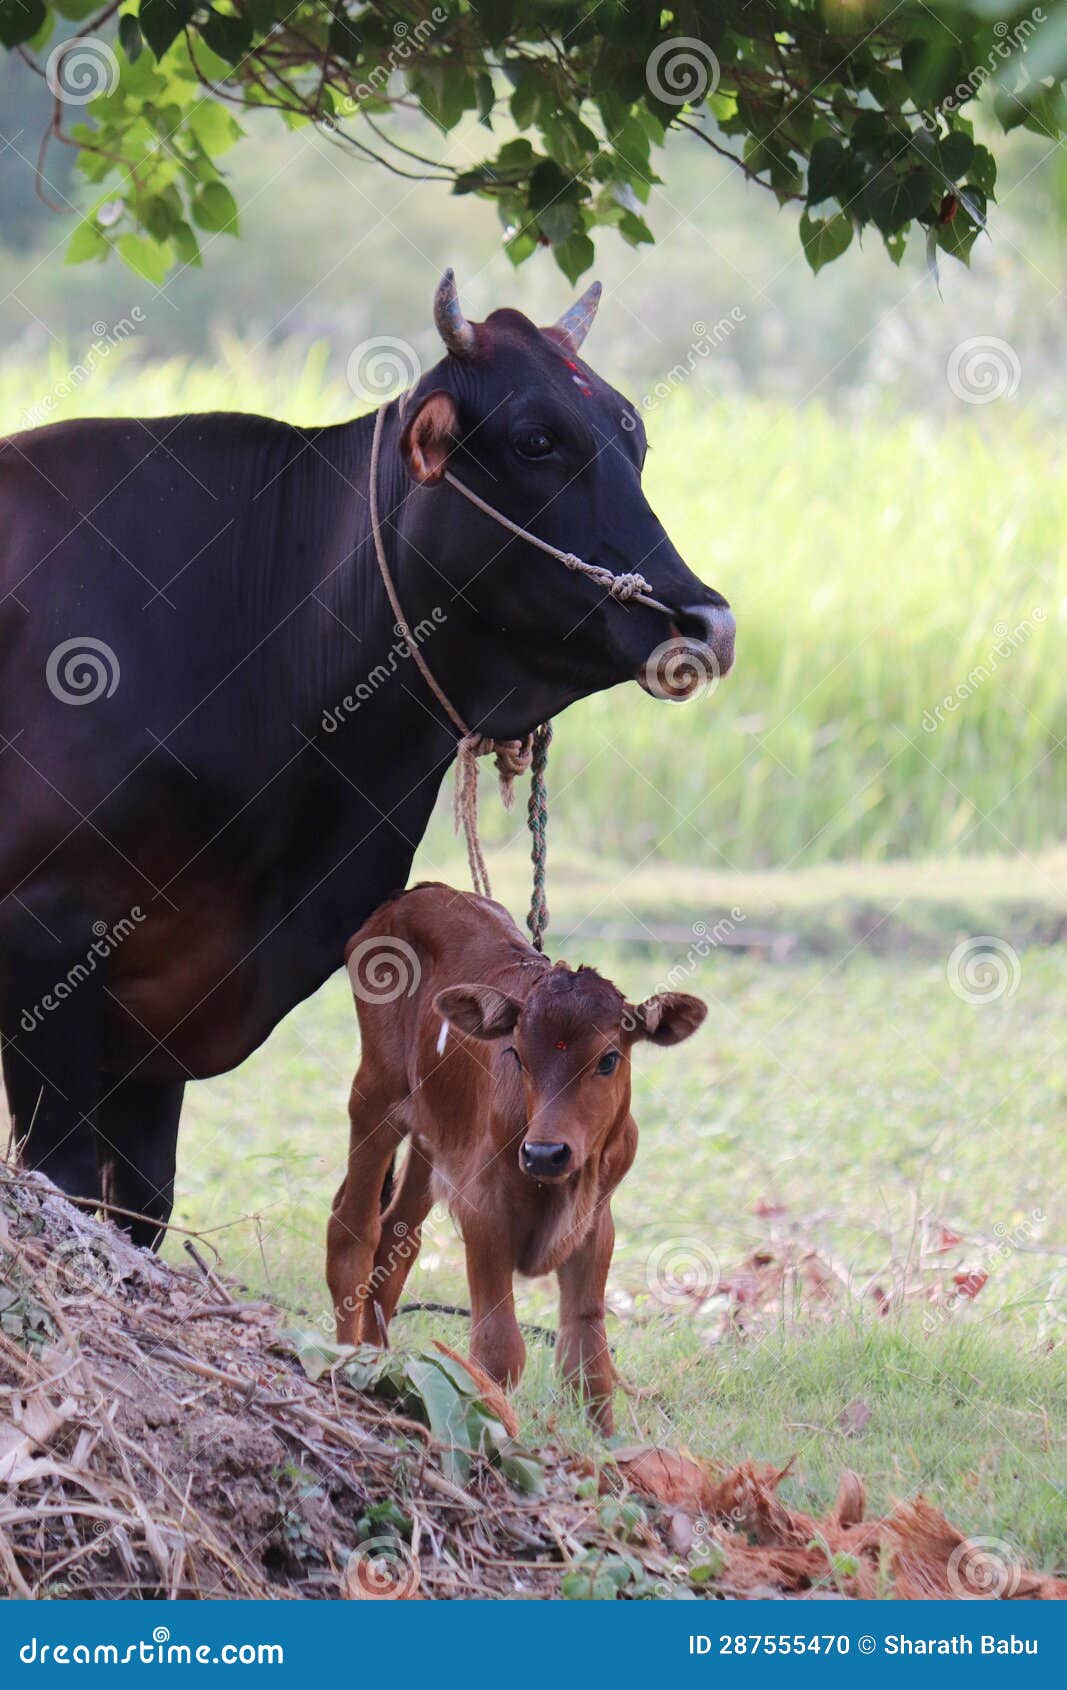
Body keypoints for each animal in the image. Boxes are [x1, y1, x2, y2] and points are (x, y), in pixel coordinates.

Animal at [0, 272, 734, 1247]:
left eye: (634, 439)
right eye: (536, 439)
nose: (706, 623)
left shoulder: (159, 1015)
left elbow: (141, 1204)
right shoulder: (45, 941)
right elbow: (68, 1186)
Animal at [328, 882, 707, 1432]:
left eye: (608, 1059)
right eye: (517, 1056)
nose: (546, 1153)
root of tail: (424, 890)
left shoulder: (596, 1223)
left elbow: (588, 1357)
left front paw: (609, 1448)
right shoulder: (484, 1211)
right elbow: (497, 1352)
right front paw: (496, 1432)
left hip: (432, 1137)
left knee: (397, 1239)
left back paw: (381, 1367)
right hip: (377, 1093)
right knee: (353, 1230)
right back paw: (346, 1364)